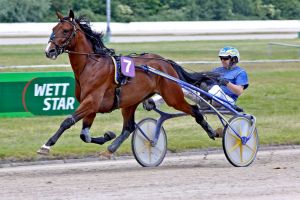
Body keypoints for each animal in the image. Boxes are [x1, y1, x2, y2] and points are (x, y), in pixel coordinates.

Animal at [38, 9, 219, 156]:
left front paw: (46, 146)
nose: (49, 51)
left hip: (172, 96)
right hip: (130, 102)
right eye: (53, 29)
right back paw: (111, 148)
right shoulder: (91, 105)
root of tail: (165, 62)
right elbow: (85, 135)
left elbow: (68, 121)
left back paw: (212, 132)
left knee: (195, 110)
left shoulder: (91, 101)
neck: (91, 66)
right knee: (129, 127)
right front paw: (107, 136)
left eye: (66, 30)